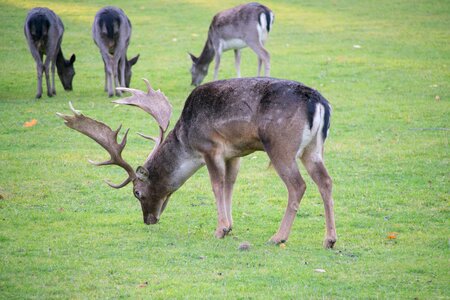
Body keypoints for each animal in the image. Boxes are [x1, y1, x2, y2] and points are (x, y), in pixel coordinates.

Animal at [57, 77, 338, 248]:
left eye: (137, 192)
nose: (148, 220)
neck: (187, 141)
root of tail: (319, 102)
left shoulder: (210, 147)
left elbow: (216, 185)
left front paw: (220, 229)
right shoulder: (234, 153)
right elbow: (230, 185)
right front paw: (230, 227)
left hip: (280, 145)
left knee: (298, 185)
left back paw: (278, 237)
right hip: (314, 149)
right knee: (326, 181)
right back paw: (330, 239)